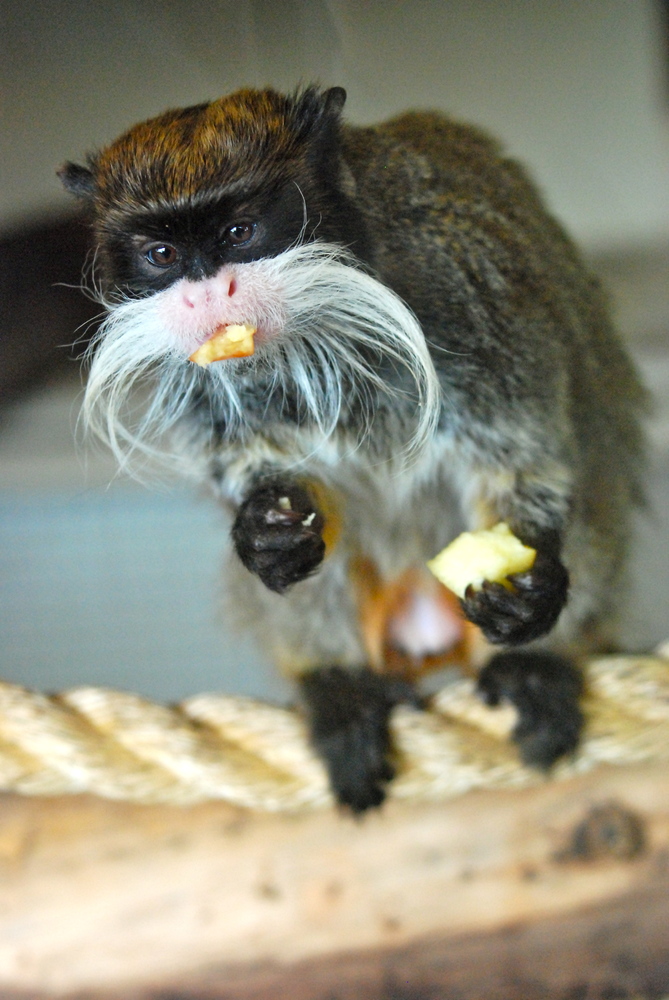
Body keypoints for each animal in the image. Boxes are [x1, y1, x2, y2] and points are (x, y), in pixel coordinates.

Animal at [59, 85, 646, 813]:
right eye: (161, 254)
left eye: (239, 234)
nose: (207, 295)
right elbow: (260, 475)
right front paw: (267, 532)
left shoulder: (469, 288)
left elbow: (523, 458)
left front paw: (531, 595)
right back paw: (339, 688)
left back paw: (537, 664)